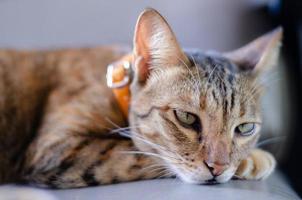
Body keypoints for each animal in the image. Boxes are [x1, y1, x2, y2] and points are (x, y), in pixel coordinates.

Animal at [0, 7, 282, 188]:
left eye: (244, 128)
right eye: (186, 118)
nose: (219, 167)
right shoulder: (57, 149)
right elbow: (143, 152)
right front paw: (254, 159)